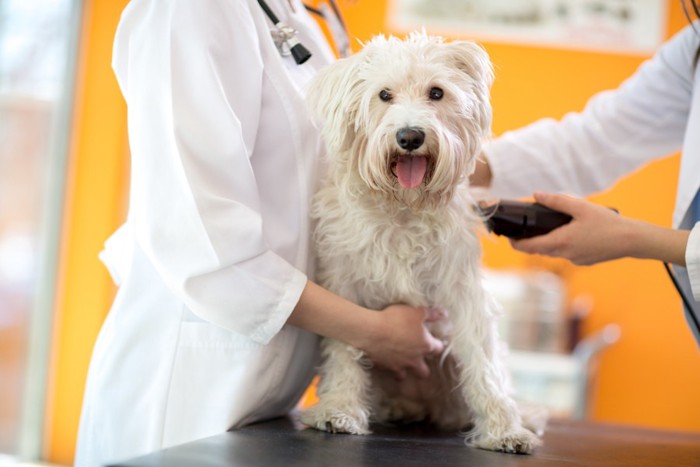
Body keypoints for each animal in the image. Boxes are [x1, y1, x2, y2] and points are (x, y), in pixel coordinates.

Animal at [298, 31, 544, 456]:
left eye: (436, 93)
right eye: (384, 95)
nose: (410, 136)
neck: (403, 207)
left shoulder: (462, 290)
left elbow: (483, 363)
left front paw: (503, 429)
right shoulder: (345, 284)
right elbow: (345, 347)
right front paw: (339, 408)